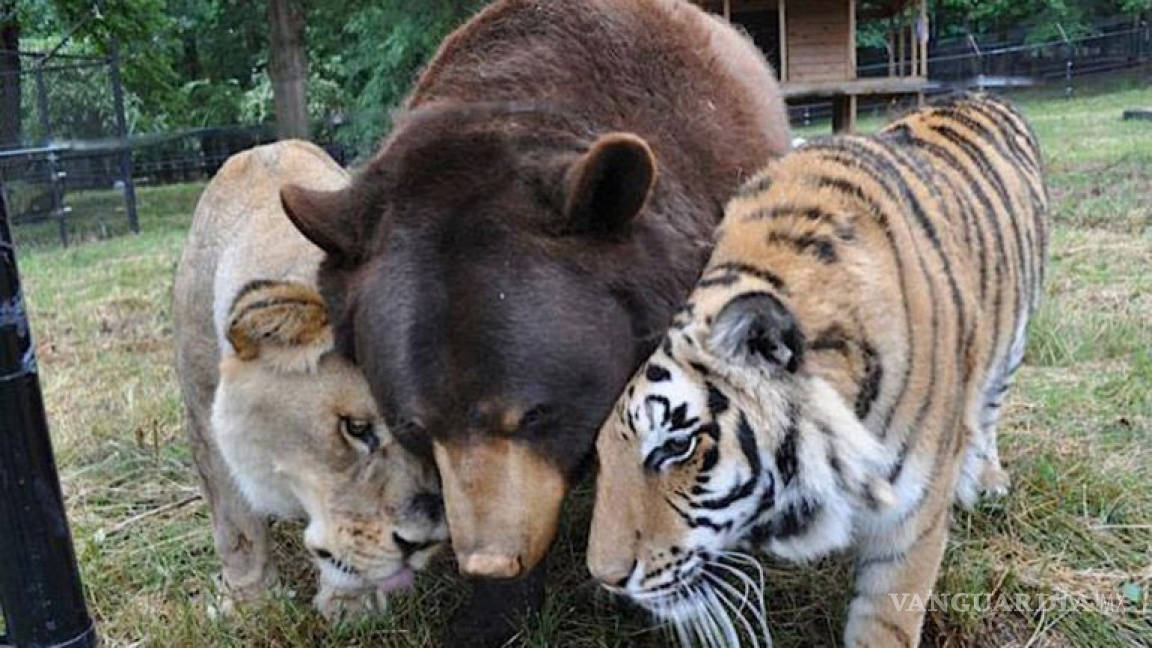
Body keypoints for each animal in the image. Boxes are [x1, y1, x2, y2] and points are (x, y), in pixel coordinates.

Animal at [173, 140, 448, 617]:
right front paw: (249, 602)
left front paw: (350, 605)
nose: (423, 542)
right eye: (356, 428)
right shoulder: (202, 413)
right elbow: (235, 524)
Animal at [586, 93, 1048, 647]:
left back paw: (987, 478)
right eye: (600, 455)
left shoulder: (909, 525)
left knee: (989, 409)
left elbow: (884, 624)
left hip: (1013, 342)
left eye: (677, 446)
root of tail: (981, 94)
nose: (605, 578)